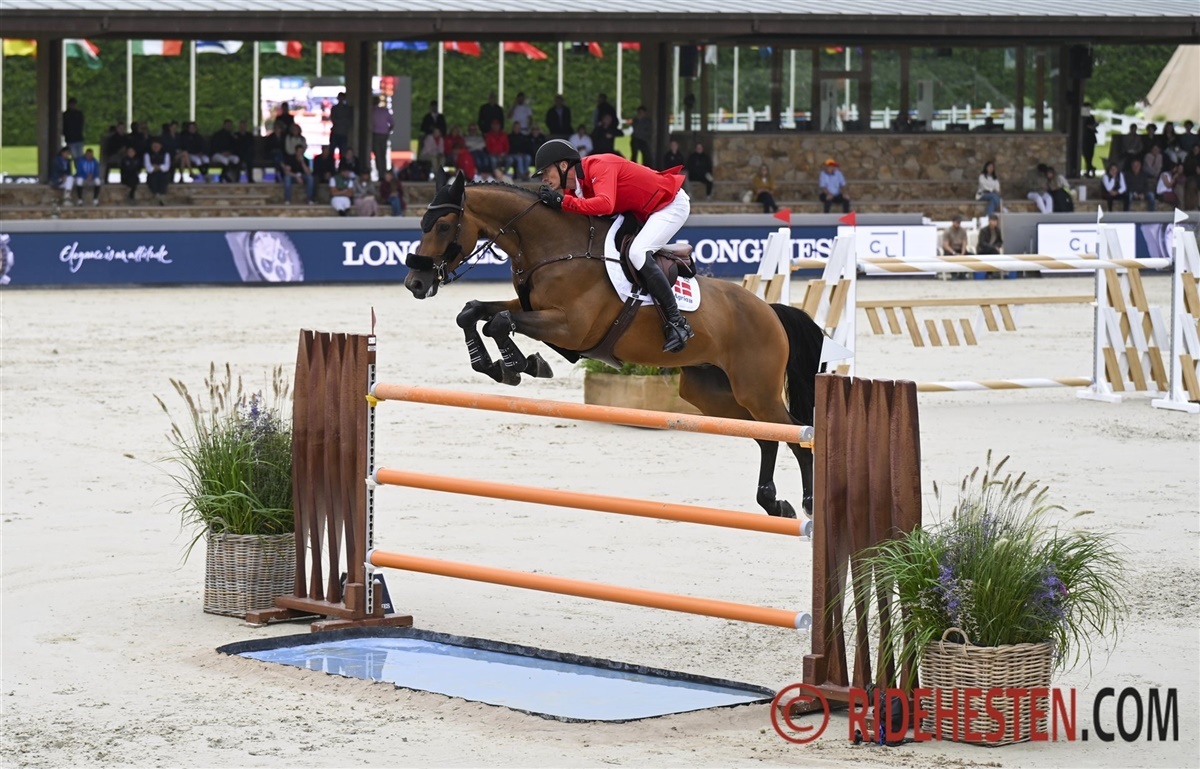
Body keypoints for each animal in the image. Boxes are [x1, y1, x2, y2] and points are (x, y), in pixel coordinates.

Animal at [403, 171, 826, 520]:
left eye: (443, 225)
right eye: (423, 224)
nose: (415, 284)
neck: (554, 247)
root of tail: (770, 311)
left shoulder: (570, 327)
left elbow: (499, 322)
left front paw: (517, 365)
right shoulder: (534, 310)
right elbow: (473, 312)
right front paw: (499, 366)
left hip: (756, 389)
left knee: (795, 433)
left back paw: (808, 502)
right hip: (711, 391)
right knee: (766, 435)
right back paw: (774, 502)